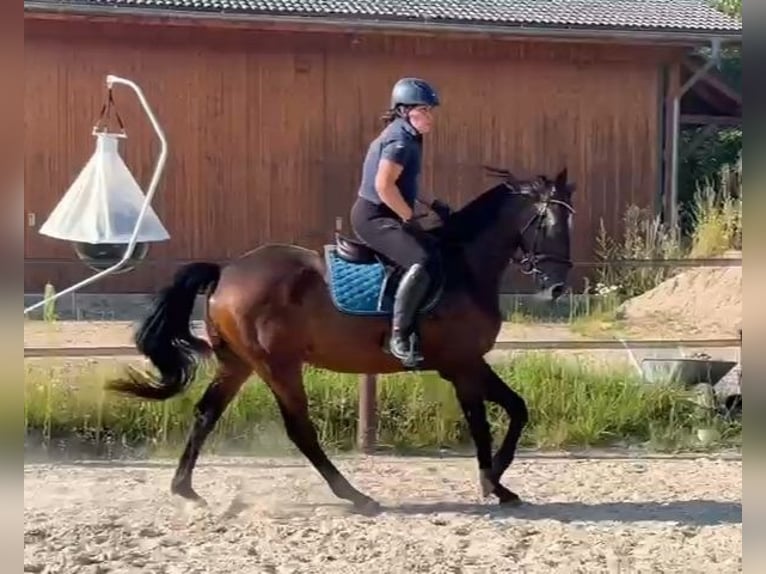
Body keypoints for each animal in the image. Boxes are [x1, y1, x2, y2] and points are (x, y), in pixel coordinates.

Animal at [106, 165, 576, 512]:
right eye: (550, 222)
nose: (557, 287)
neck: (464, 266)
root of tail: (226, 270)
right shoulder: (462, 365)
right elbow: (483, 424)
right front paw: (490, 482)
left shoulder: (468, 363)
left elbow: (517, 408)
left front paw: (499, 483)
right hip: (278, 366)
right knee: (300, 430)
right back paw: (355, 495)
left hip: (238, 364)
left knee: (206, 413)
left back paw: (184, 489)